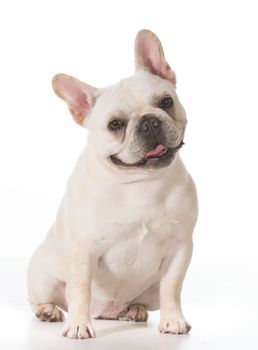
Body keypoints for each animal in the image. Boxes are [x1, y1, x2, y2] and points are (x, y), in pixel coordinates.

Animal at [27, 30, 199, 340]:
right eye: (115, 124)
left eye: (166, 102)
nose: (149, 122)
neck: (141, 182)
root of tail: (107, 311)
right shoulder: (84, 249)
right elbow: (80, 289)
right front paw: (79, 325)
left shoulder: (180, 248)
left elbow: (172, 287)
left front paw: (173, 320)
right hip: (42, 277)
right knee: (45, 298)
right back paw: (49, 311)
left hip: (149, 291)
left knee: (148, 298)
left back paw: (135, 310)